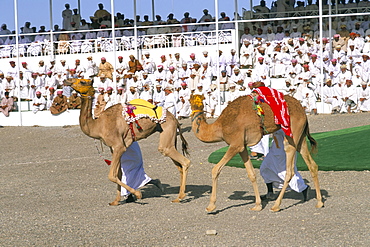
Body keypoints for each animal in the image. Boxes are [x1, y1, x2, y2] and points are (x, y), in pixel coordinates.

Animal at [191, 93, 324, 212]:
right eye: (191, 100)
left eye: (198, 100)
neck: (221, 126)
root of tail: (303, 111)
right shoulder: (242, 147)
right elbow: (251, 174)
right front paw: (258, 205)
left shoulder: (235, 144)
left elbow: (215, 170)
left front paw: (211, 206)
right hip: (300, 138)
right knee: (312, 165)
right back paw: (319, 202)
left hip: (292, 133)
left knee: (289, 169)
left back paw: (276, 206)